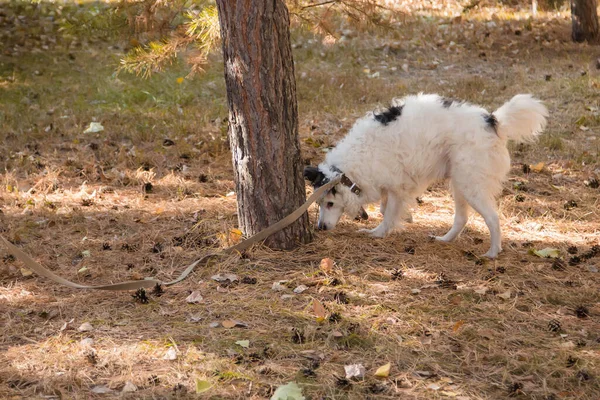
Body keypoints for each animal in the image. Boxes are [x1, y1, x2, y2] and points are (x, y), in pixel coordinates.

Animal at [304, 93, 548, 260]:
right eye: (320, 204)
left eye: (330, 203)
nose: (320, 228)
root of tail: (492, 120)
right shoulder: (390, 186)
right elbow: (385, 209)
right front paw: (405, 219)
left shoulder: (397, 187)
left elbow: (388, 214)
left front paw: (378, 232)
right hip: (459, 184)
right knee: (461, 219)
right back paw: (445, 239)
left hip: (470, 185)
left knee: (493, 218)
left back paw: (493, 252)